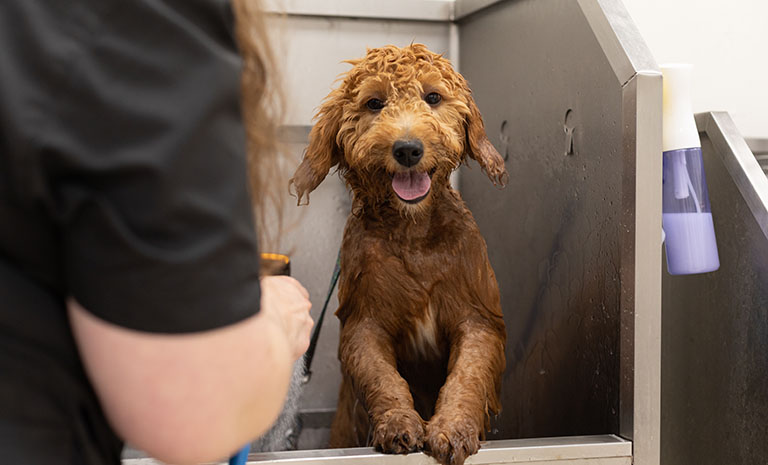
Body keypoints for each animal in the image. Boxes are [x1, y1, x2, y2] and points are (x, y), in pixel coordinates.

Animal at [292, 44, 508, 464]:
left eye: (433, 97)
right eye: (374, 103)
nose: (407, 149)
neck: (414, 235)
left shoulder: (477, 318)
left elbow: (467, 376)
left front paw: (453, 427)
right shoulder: (364, 321)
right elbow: (382, 377)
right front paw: (397, 422)